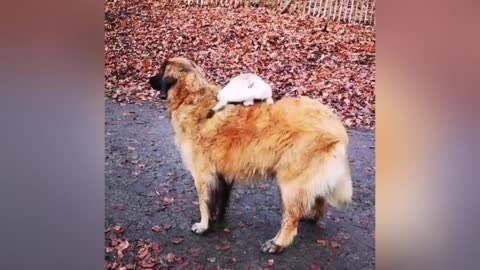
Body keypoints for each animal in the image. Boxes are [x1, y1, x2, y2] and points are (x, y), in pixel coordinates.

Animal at [147, 58, 352, 254]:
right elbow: (219, 200)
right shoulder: (222, 174)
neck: (192, 98)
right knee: (318, 200)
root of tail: (337, 126)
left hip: (292, 183)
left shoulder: (203, 176)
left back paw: (277, 243)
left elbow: (204, 203)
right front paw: (216, 219)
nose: (148, 80)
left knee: (291, 219)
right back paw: (309, 216)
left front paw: (204, 226)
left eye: (160, 70)